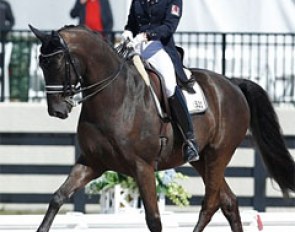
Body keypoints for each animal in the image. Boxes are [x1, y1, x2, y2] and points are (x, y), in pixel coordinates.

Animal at [28, 24, 294, 231]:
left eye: (57, 63)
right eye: (41, 63)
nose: (57, 110)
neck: (114, 98)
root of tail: (233, 83)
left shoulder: (143, 167)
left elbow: (154, 219)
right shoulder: (93, 162)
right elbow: (58, 197)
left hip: (219, 154)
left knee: (210, 205)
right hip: (202, 159)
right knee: (228, 202)